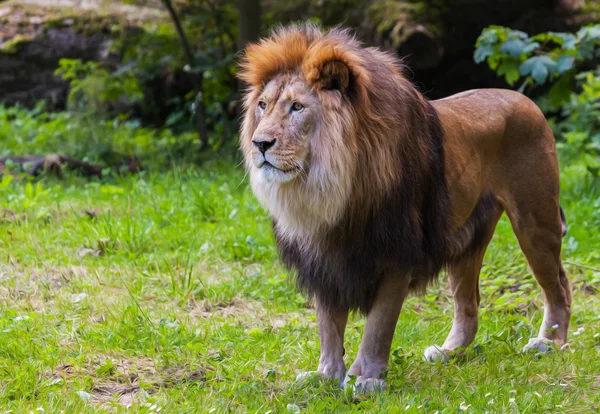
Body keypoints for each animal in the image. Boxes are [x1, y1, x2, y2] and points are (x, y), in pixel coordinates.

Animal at [237, 24, 568, 392]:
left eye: (297, 107)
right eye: (263, 105)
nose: (260, 143)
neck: (329, 190)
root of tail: (524, 99)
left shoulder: (397, 252)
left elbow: (378, 326)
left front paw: (365, 378)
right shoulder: (324, 258)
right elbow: (328, 324)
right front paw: (326, 375)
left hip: (534, 220)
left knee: (559, 286)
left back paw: (549, 343)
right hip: (466, 240)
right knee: (468, 303)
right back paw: (448, 353)